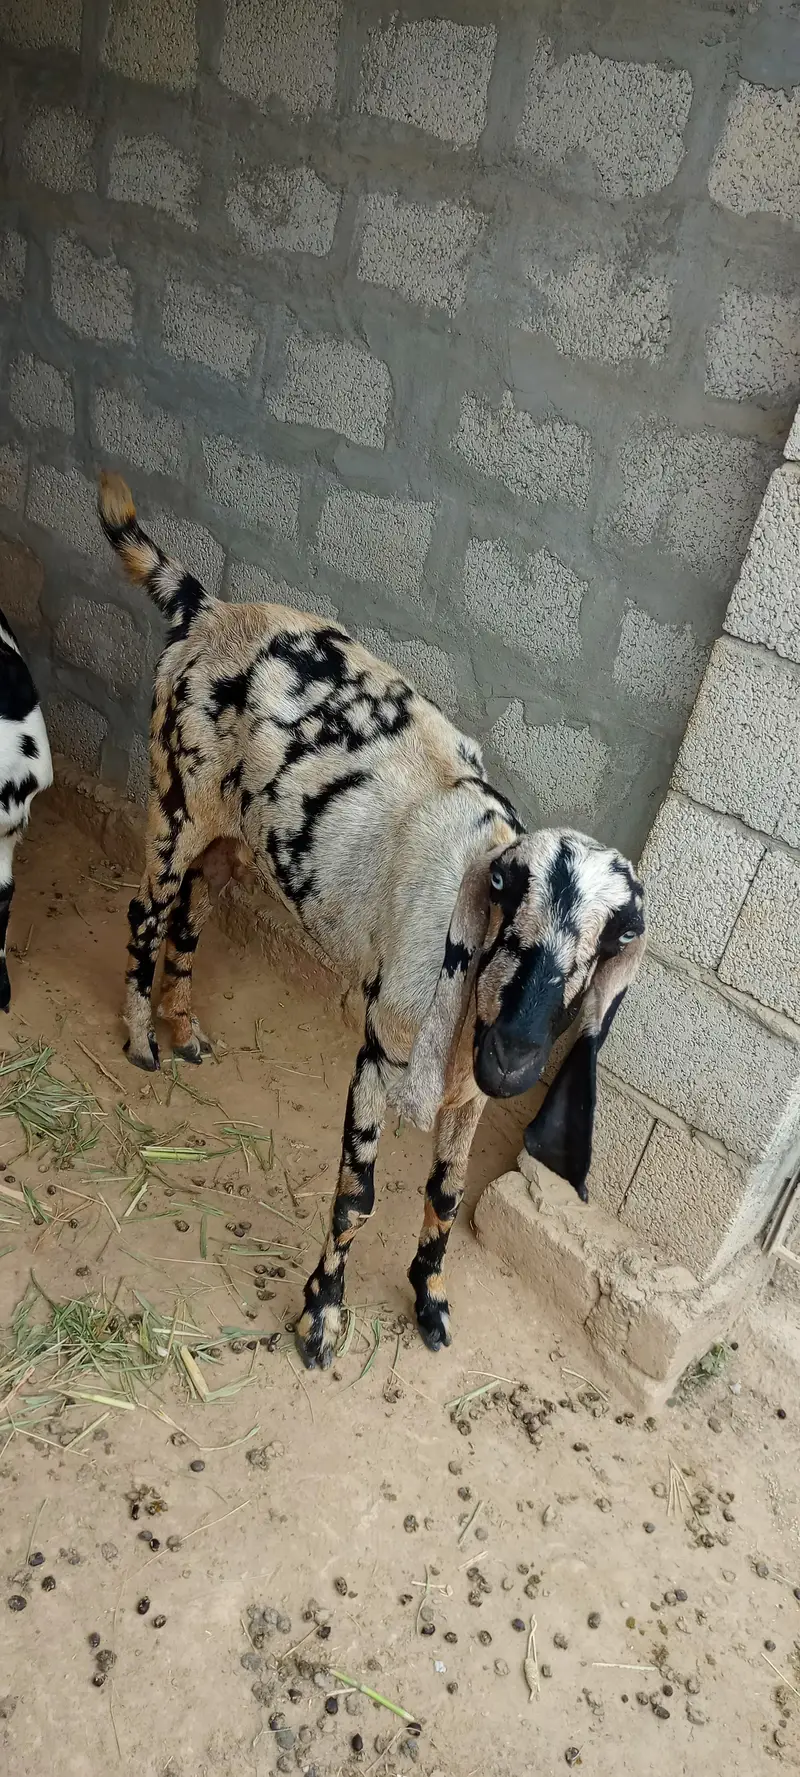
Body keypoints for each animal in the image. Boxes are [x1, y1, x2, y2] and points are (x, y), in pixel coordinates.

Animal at [98, 472, 646, 1368]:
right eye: (511, 913)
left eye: (604, 949)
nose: (516, 1059)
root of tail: (211, 609)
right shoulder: (378, 1057)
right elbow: (356, 1197)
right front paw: (320, 1316)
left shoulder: (469, 1100)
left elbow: (447, 1197)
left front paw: (430, 1300)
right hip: (175, 806)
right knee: (148, 913)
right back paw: (143, 1035)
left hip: (234, 842)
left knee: (190, 921)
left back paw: (184, 1028)